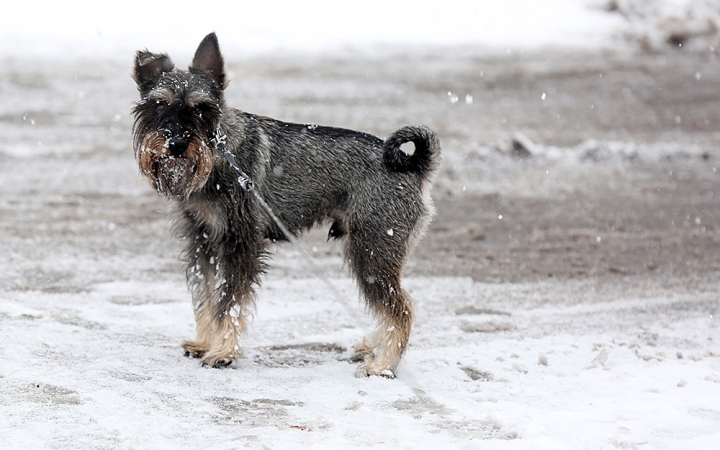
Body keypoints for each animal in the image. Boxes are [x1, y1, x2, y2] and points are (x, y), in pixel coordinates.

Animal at [132, 32, 442, 376]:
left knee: (400, 309)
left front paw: (222, 352)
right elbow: (207, 294)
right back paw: (372, 348)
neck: (220, 152)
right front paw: (204, 342)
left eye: (202, 108)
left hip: (372, 252)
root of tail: (415, 167)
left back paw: (383, 364)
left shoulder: (240, 243)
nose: (176, 143)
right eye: (159, 103)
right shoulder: (201, 241)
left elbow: (229, 302)